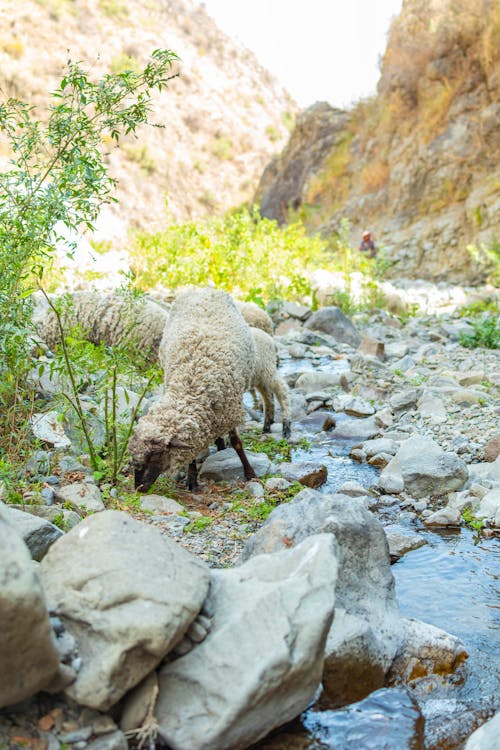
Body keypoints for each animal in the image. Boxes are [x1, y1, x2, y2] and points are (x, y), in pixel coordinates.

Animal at [128, 288, 258, 494]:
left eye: (155, 455)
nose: (138, 488)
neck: (191, 383)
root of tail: (202, 289)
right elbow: (191, 453)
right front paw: (191, 478)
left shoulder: (231, 408)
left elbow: (237, 442)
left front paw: (249, 472)